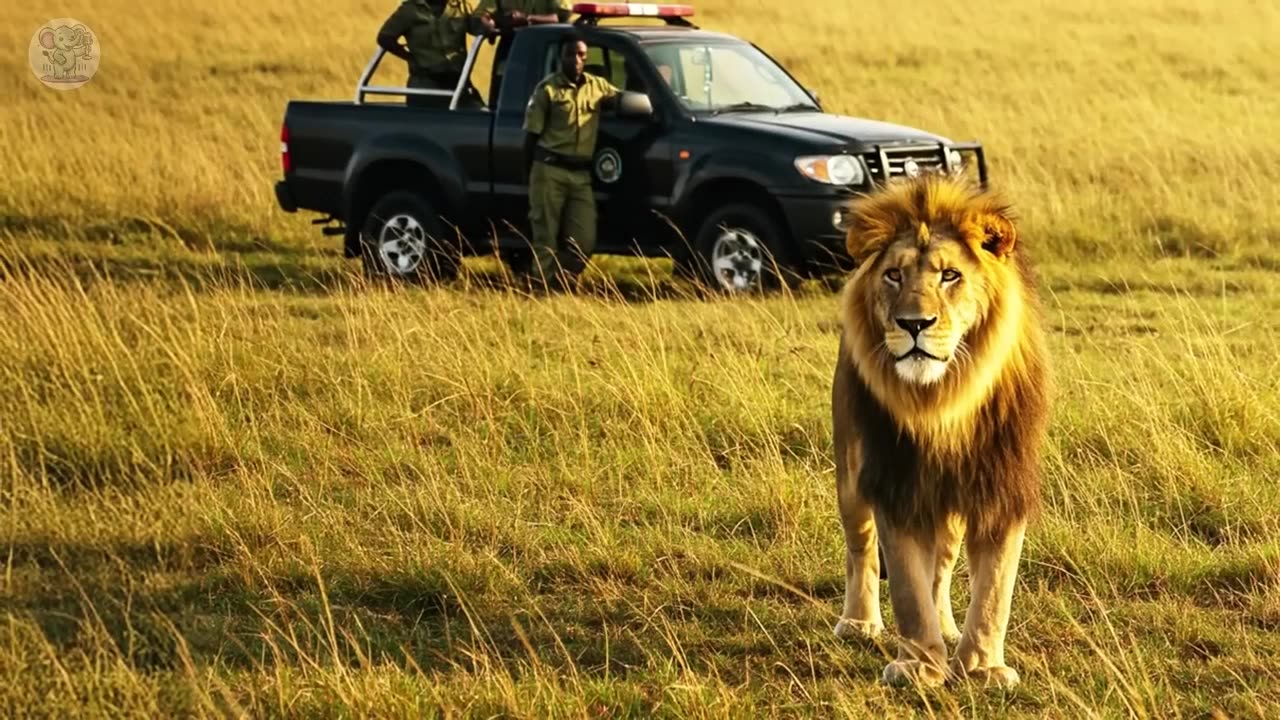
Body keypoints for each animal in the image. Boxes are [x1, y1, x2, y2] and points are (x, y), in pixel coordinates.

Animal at [829, 173, 1051, 689]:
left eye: (950, 276)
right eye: (894, 275)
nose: (914, 324)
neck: (943, 402)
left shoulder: (1001, 489)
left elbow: (994, 591)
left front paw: (982, 667)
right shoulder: (895, 485)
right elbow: (907, 589)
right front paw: (919, 666)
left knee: (944, 565)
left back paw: (949, 628)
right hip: (850, 472)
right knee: (861, 548)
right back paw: (859, 622)